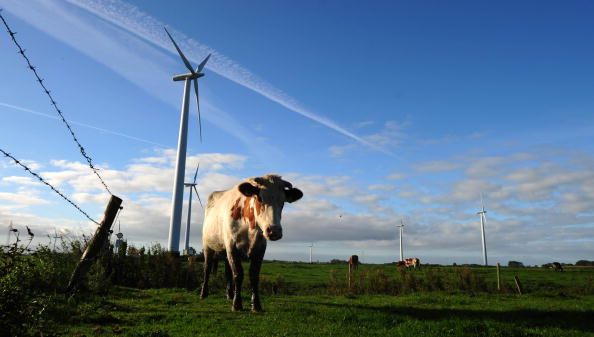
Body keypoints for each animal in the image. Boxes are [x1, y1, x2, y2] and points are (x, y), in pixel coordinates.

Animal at [200, 175, 302, 312]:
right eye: (260, 198)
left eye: (283, 202)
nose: (274, 230)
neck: (250, 230)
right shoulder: (232, 247)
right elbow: (238, 275)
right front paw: (237, 304)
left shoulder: (260, 249)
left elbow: (254, 275)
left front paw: (256, 304)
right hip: (207, 246)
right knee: (206, 269)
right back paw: (204, 293)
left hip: (226, 252)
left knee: (227, 272)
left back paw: (229, 294)